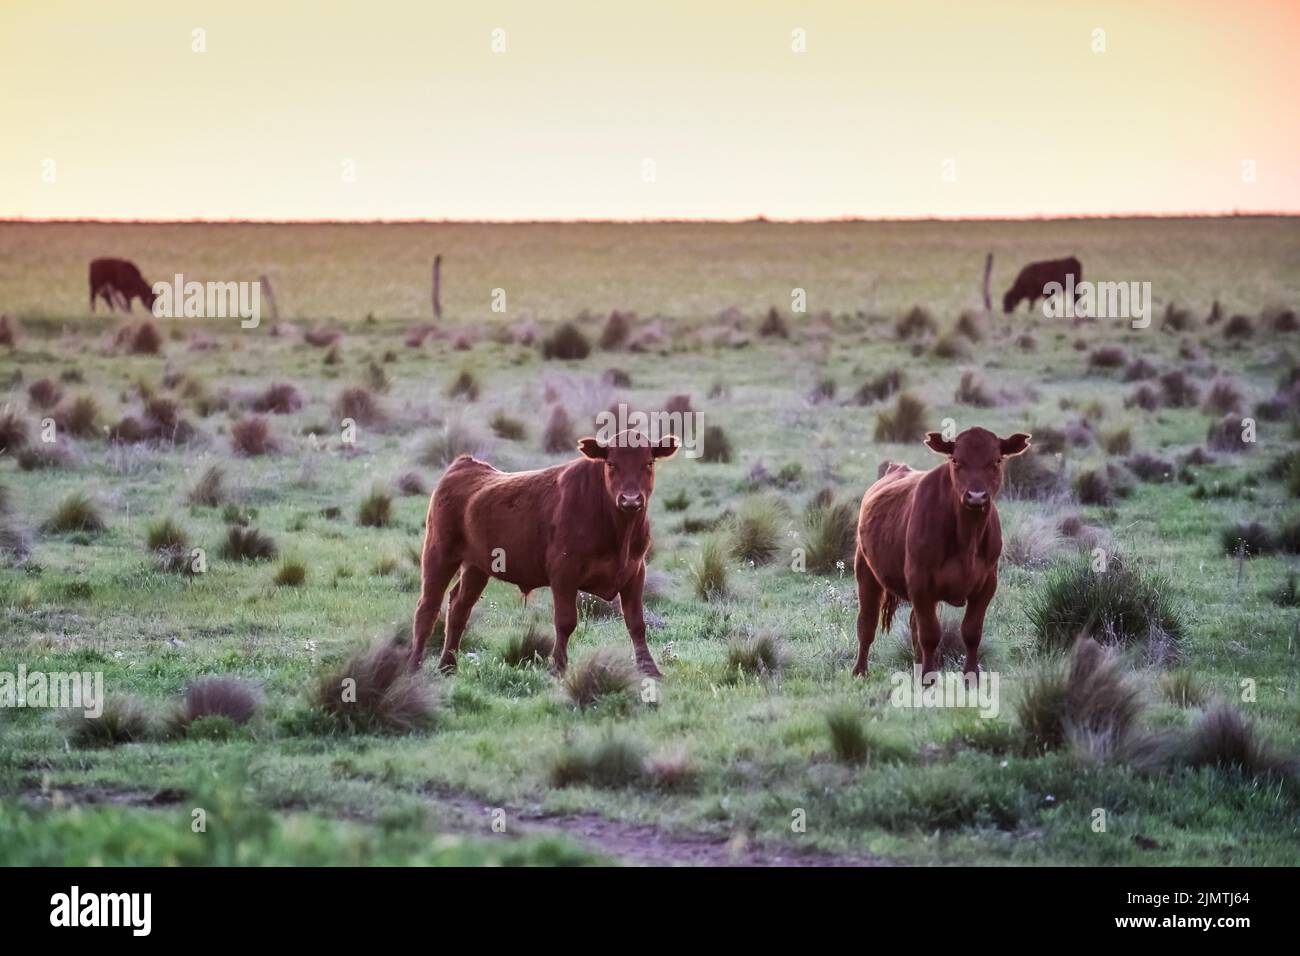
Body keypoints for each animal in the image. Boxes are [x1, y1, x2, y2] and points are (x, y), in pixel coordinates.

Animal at [409, 429, 679, 677]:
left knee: (459, 607)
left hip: (477, 567)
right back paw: (415, 665)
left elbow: (636, 623)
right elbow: (566, 621)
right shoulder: (564, 573)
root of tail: (464, 464)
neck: (618, 531)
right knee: (427, 608)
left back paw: (447, 665)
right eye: (611, 463)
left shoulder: (635, 572)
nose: (631, 500)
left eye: (649, 463)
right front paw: (558, 667)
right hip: (439, 554)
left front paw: (650, 668)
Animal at [852, 427, 1031, 680]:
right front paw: (929, 679)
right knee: (867, 624)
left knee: (913, 625)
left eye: (997, 460)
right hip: (865, 570)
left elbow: (971, 632)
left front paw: (970, 677)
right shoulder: (920, 583)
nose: (976, 496)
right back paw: (860, 670)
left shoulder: (987, 584)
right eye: (955, 460)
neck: (967, 539)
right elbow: (930, 634)